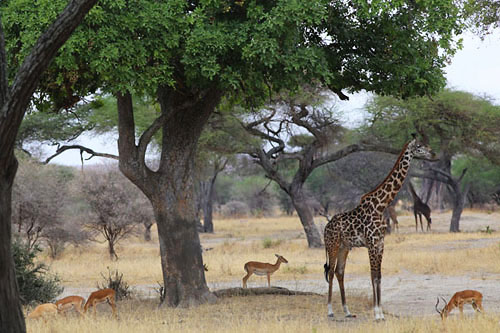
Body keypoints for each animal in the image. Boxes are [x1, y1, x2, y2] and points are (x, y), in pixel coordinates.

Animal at [324, 136, 434, 320]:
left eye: (427, 145)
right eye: (419, 146)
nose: (433, 154)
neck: (380, 205)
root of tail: (325, 227)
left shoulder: (381, 243)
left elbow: (379, 276)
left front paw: (380, 312)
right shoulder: (371, 243)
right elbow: (373, 275)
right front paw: (377, 313)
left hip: (344, 247)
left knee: (340, 272)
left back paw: (347, 311)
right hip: (332, 245)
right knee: (331, 271)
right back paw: (331, 311)